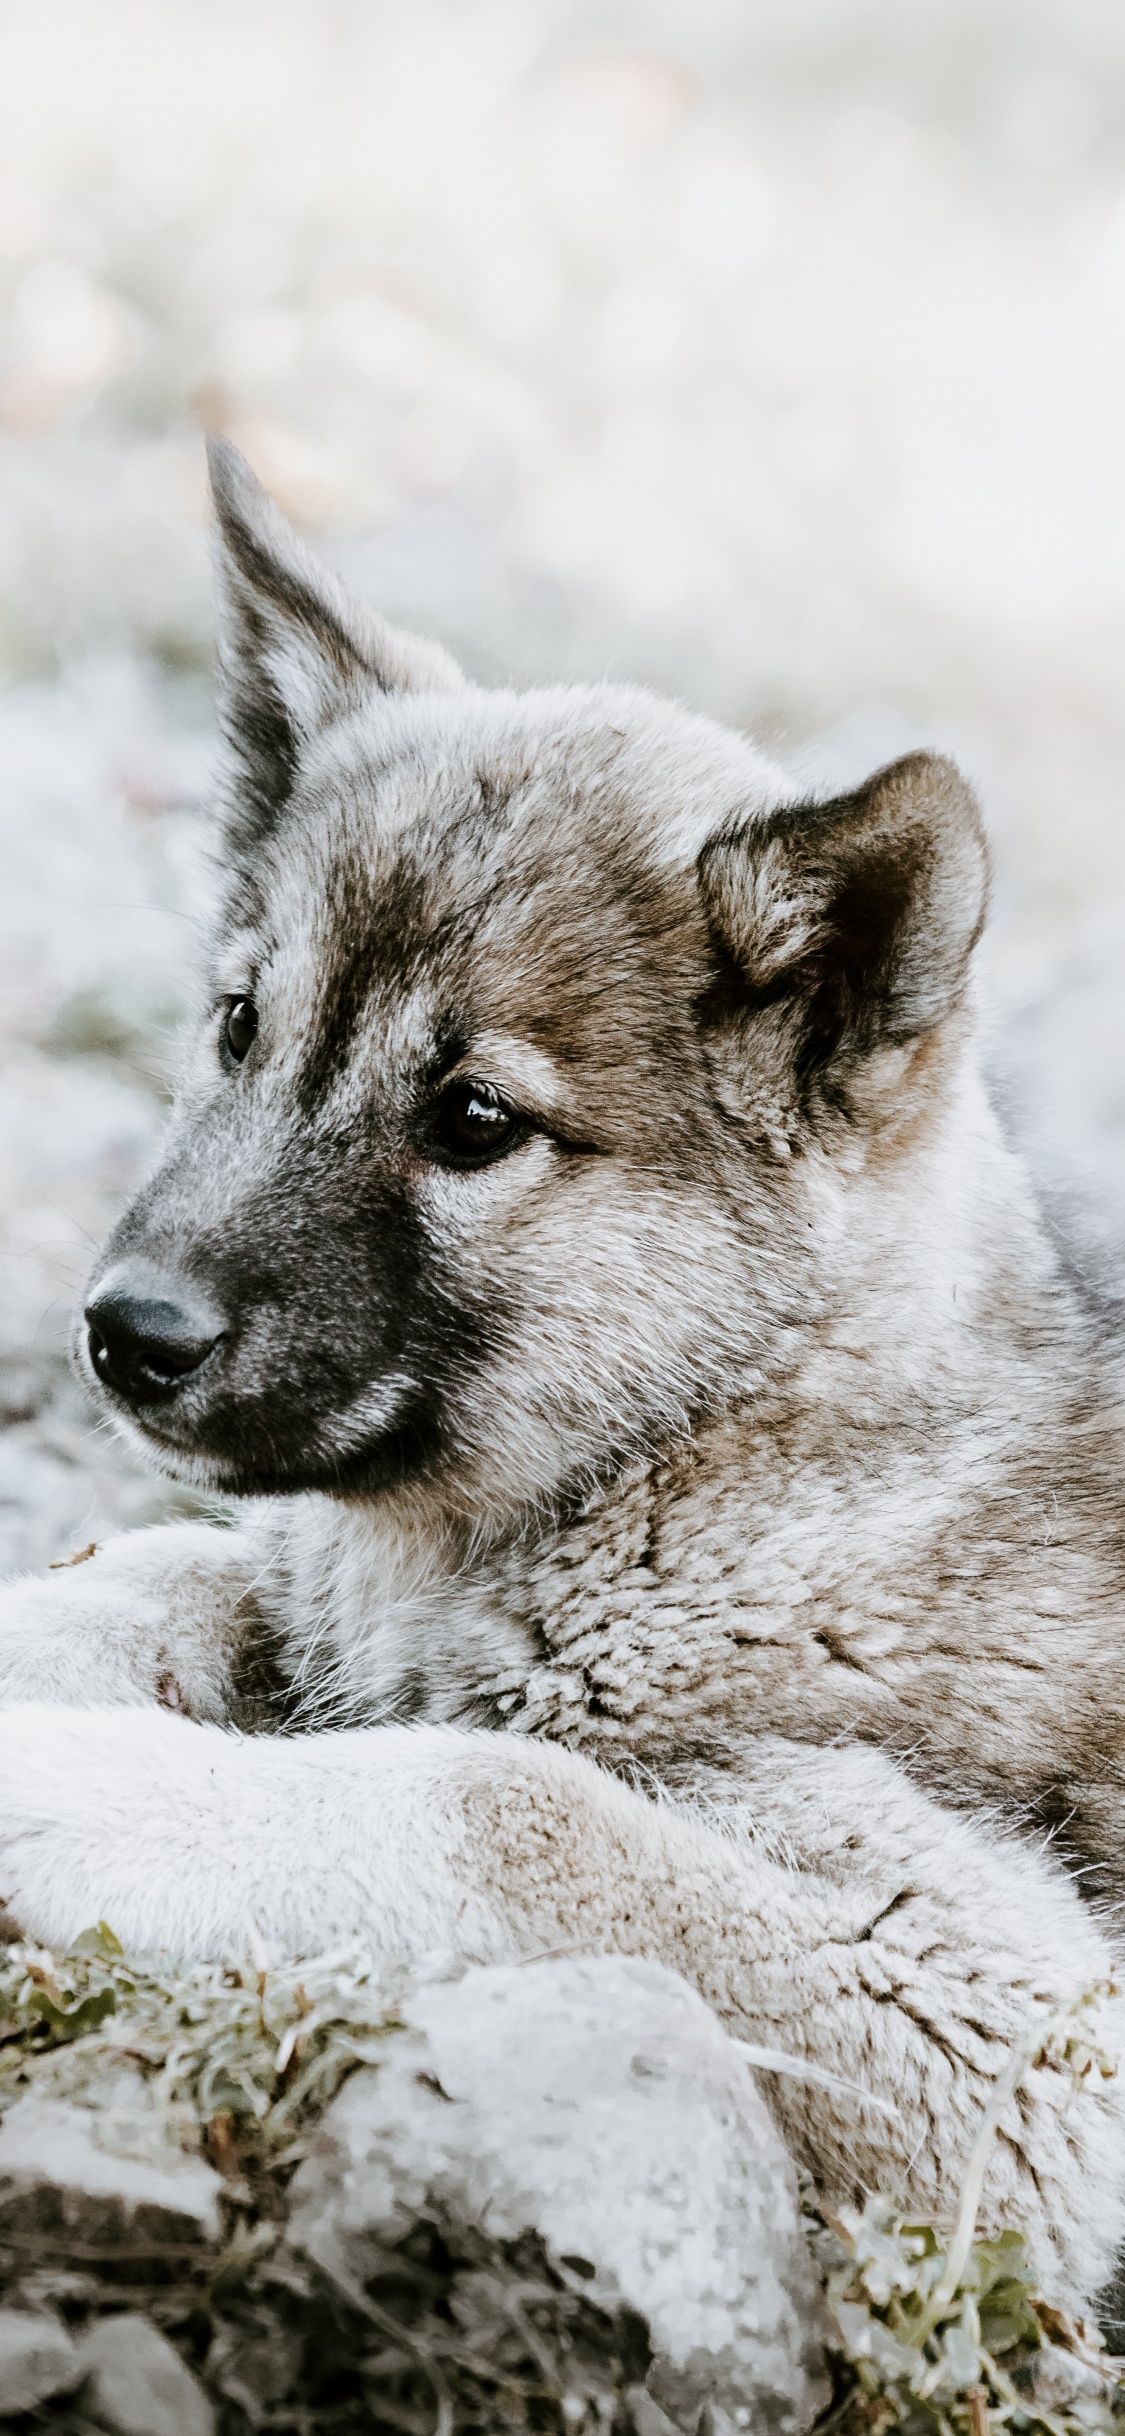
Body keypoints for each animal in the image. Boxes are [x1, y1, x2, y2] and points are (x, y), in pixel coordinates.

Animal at [2, 443, 1125, 2299]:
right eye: (239, 1028)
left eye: (472, 1120)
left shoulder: (1006, 2020)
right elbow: (157, 1570)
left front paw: (61, 1784)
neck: (711, 1454)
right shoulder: (312, 1579)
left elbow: (507, 1798)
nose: (127, 1333)